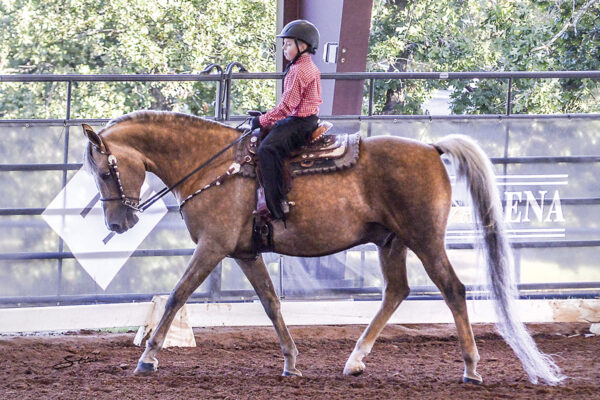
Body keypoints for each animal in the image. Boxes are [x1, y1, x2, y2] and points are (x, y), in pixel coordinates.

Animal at [82, 109, 564, 384]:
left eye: (104, 171)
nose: (118, 223)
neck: (214, 166)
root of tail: (431, 149)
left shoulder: (212, 248)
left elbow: (176, 296)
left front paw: (148, 359)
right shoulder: (244, 253)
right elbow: (271, 302)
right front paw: (291, 361)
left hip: (425, 241)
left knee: (453, 290)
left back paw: (470, 367)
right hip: (392, 243)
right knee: (396, 292)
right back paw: (355, 361)